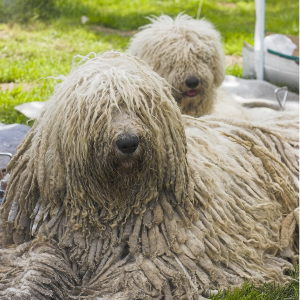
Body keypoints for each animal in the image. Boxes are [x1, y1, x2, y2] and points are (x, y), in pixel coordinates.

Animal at [0, 52, 298, 300]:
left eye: (142, 107)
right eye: (100, 111)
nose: (128, 142)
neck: (112, 206)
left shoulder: (160, 259)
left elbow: (131, 281)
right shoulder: (57, 243)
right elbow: (37, 264)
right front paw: (20, 290)